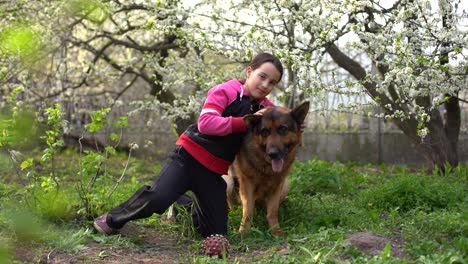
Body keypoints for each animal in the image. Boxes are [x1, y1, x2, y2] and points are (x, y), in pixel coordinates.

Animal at [224, 101, 310, 235]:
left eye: (283, 129)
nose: (273, 154)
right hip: (229, 183)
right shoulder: (247, 184)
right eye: (265, 132)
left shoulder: (277, 185)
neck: (266, 167)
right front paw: (244, 231)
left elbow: (272, 211)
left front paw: (275, 230)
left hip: (285, 185)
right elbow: (248, 211)